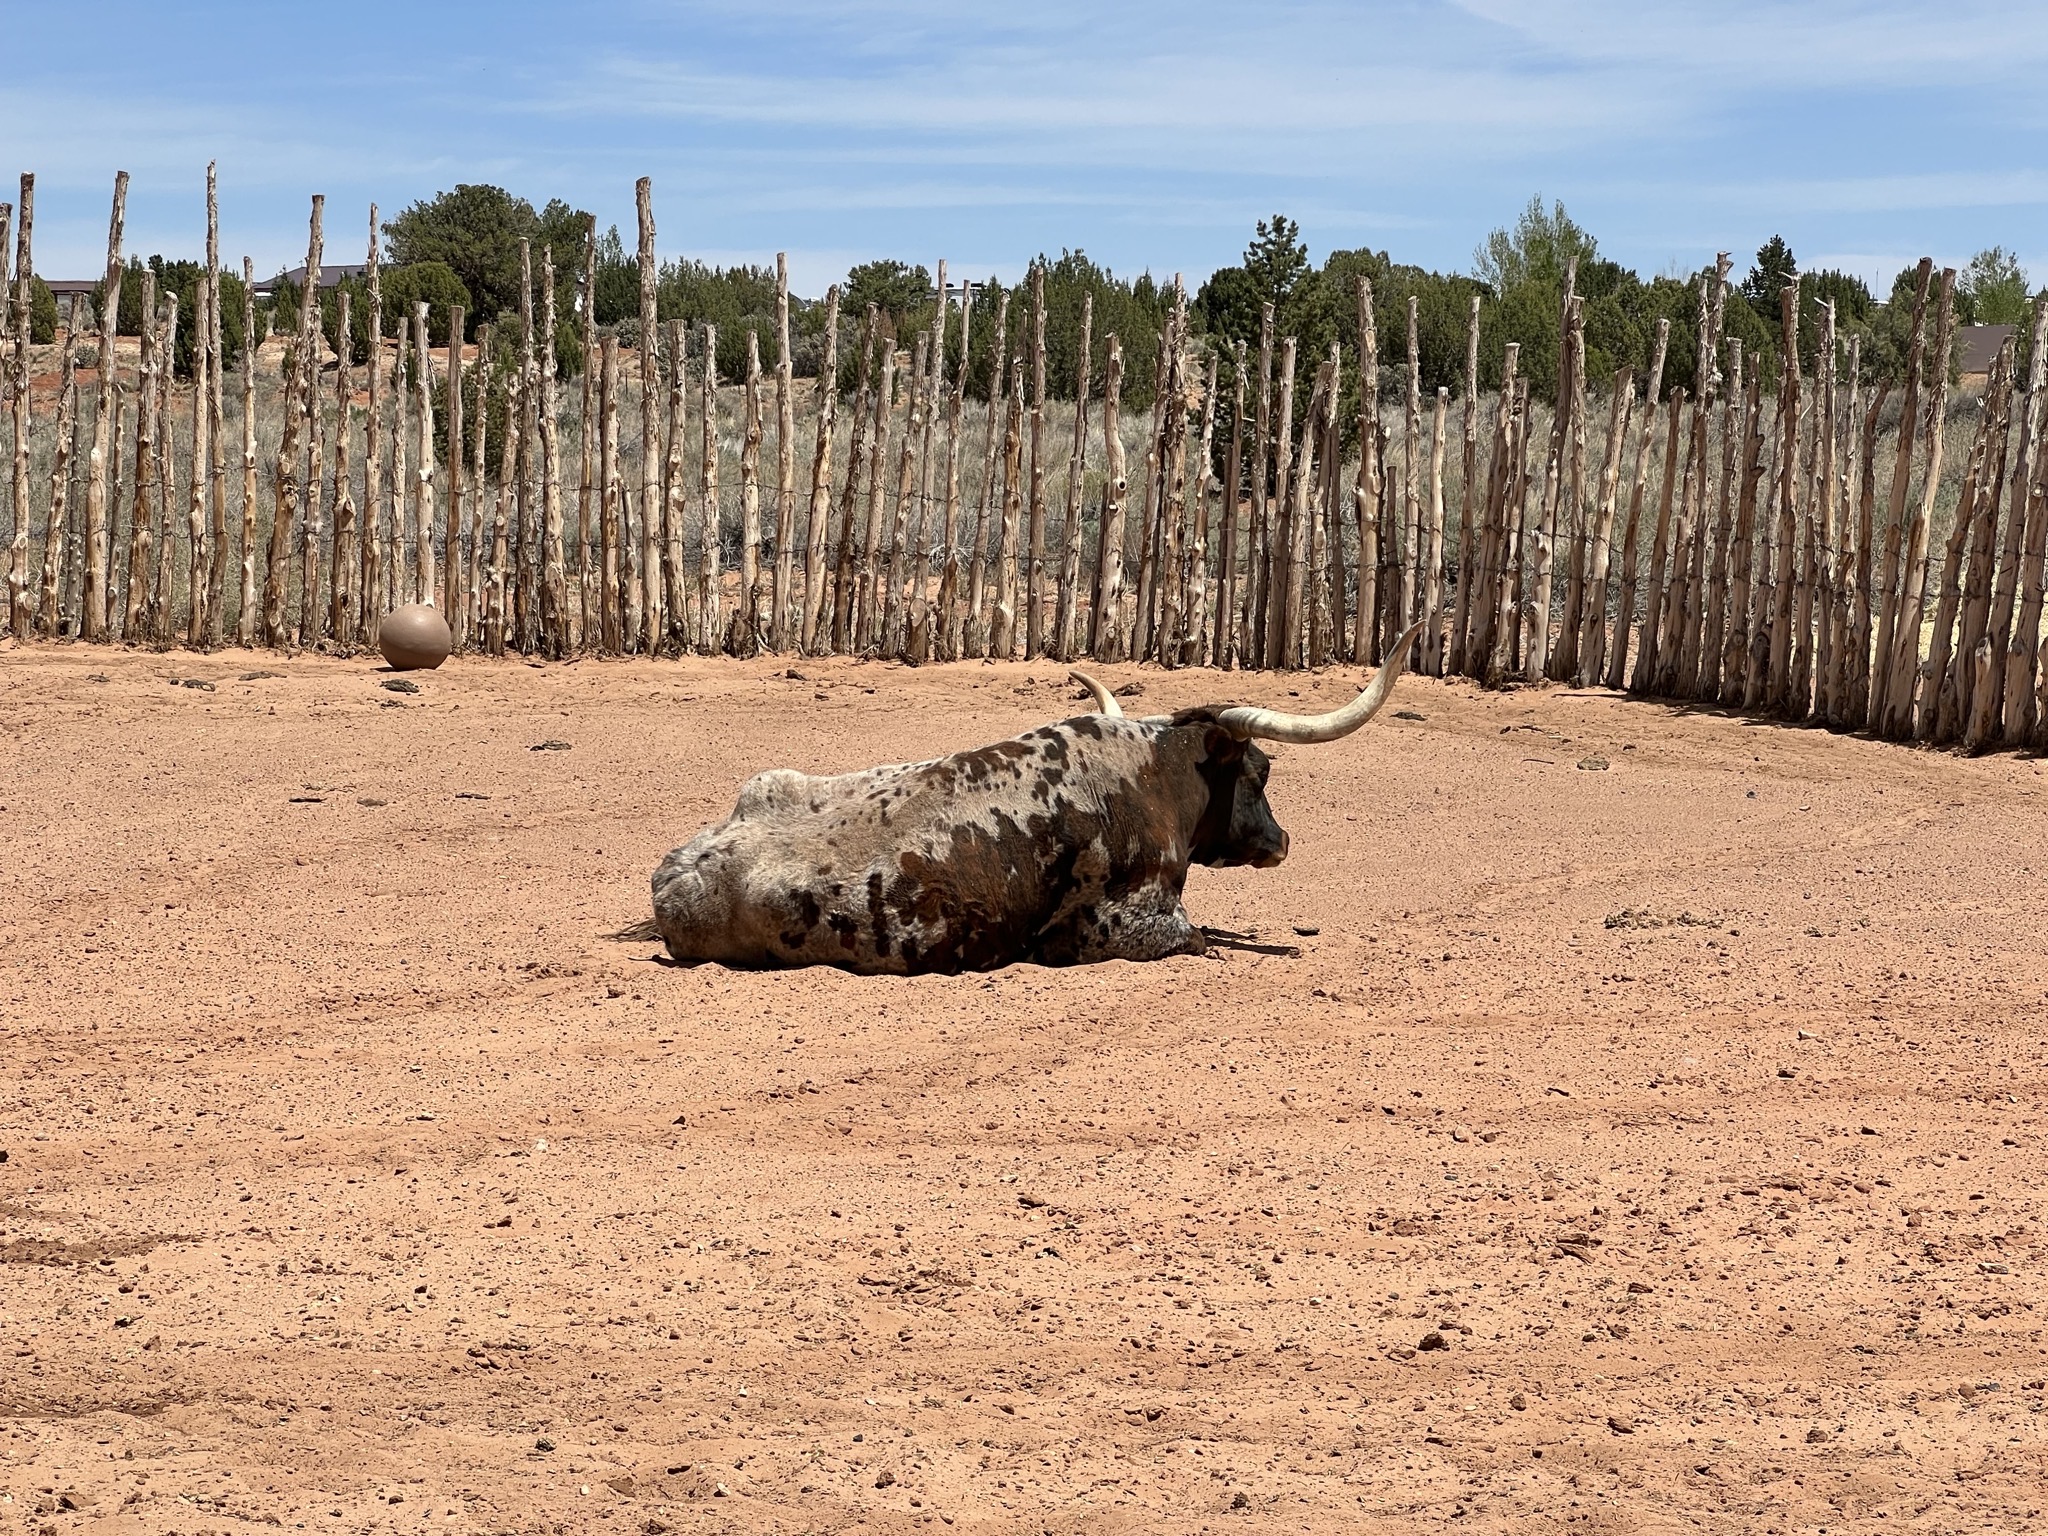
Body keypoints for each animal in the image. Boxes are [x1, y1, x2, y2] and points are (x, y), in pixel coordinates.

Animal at [645, 624, 1421, 975]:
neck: (1153, 777)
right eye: (1260, 772)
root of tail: (673, 872)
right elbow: (1200, 937)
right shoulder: (1112, 931)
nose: (1283, 841)